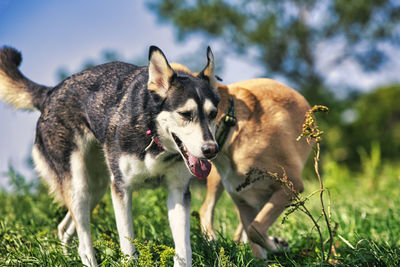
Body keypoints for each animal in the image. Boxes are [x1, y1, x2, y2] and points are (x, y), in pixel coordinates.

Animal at [0, 46, 219, 267]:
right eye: (185, 114)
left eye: (213, 114)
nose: (211, 149)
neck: (151, 131)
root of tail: (51, 93)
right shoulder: (121, 189)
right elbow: (127, 245)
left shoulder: (178, 191)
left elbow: (183, 250)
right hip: (80, 186)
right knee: (83, 243)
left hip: (96, 187)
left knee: (65, 228)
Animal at [200, 78, 312, 258]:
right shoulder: (243, 201)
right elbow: (254, 232)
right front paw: (273, 248)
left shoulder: (290, 187)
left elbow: (255, 229)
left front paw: (276, 246)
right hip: (217, 182)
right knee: (206, 208)